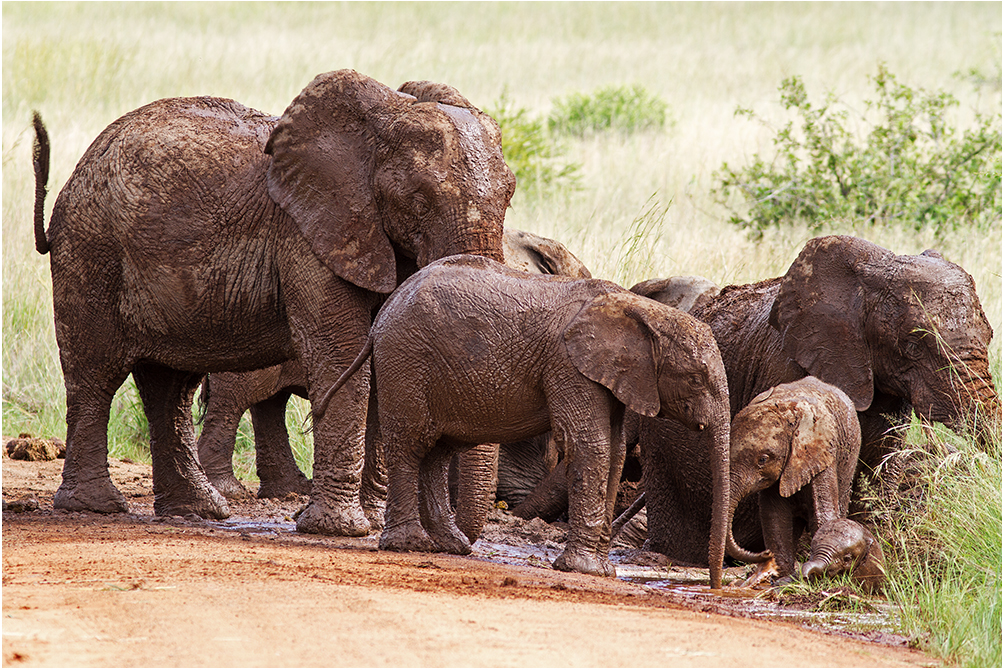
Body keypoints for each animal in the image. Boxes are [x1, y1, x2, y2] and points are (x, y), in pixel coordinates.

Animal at [29, 69, 518, 534]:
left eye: (510, 194)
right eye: (419, 199)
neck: (380, 120)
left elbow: (384, 363)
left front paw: (368, 522)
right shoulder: (306, 236)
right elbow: (341, 355)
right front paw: (337, 529)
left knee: (171, 387)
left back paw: (198, 510)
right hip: (92, 248)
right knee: (95, 371)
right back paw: (96, 505)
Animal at [321, 254, 731, 582]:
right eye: (696, 378)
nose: (715, 584)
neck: (641, 310)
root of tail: (381, 316)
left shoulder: (612, 377)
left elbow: (613, 453)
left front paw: (603, 571)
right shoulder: (568, 365)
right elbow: (591, 444)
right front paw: (583, 570)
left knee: (436, 450)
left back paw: (452, 546)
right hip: (406, 361)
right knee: (411, 443)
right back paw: (411, 544)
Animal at [723, 377, 864, 582]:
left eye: (763, 460)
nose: (764, 553)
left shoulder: (823, 453)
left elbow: (822, 512)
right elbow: (775, 517)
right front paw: (781, 579)